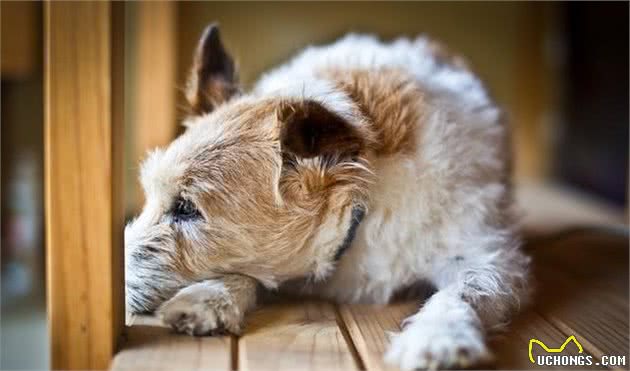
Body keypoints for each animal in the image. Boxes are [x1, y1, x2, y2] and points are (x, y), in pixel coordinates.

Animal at [126, 24, 532, 370]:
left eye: (186, 208)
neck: (362, 201)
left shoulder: (488, 254)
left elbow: (464, 291)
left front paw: (438, 338)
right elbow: (250, 273)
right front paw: (209, 297)